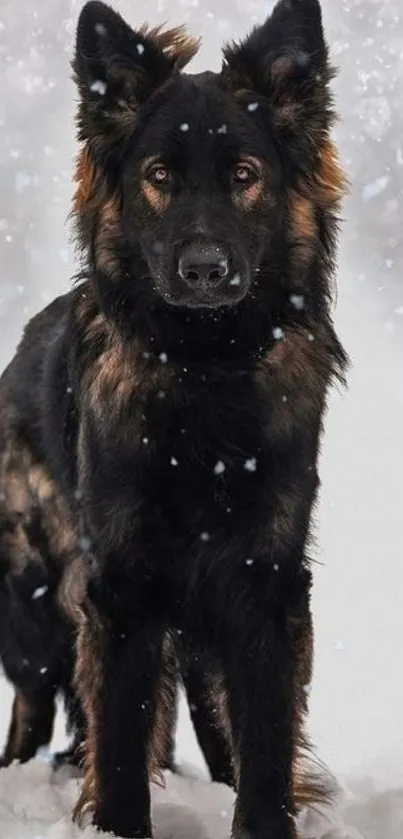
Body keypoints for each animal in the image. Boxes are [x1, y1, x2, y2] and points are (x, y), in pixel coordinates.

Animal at [0, 0, 348, 836]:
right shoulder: (121, 588)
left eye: (244, 177)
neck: (203, 369)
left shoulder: (262, 584)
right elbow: (122, 744)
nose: (204, 270)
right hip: (32, 601)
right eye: (159, 177)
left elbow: (264, 742)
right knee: (33, 699)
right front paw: (114, 818)